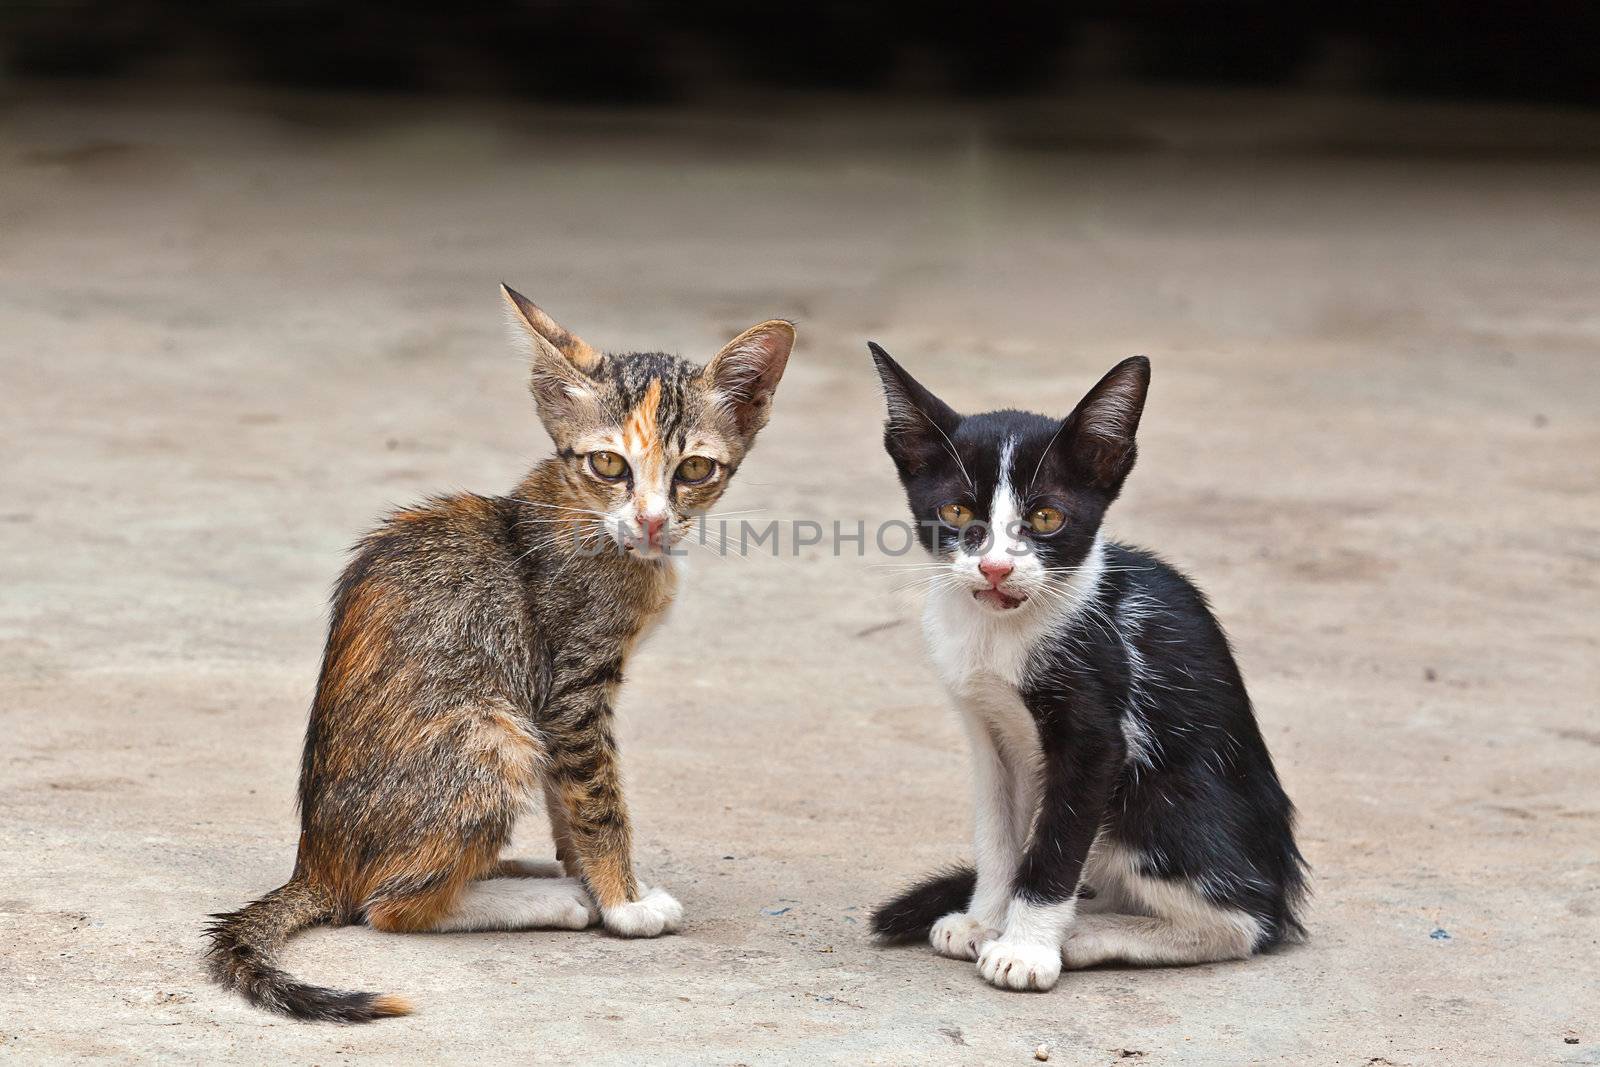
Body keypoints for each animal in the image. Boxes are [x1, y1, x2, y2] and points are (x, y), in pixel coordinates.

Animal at [206, 287, 793, 1023]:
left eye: (694, 470)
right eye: (609, 464)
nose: (654, 520)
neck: (586, 518)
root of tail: (314, 866)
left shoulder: (557, 706)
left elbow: (571, 798)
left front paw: (589, 874)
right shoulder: (571, 686)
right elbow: (599, 798)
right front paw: (623, 903)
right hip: (493, 733)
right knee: (386, 907)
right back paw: (542, 899)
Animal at [870, 348, 1305, 991]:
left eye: (1047, 517)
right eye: (956, 511)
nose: (996, 568)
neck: (1001, 633)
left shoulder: (1099, 730)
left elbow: (1056, 842)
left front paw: (1024, 949)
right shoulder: (983, 723)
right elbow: (999, 832)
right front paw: (984, 920)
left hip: (1160, 800)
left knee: (1247, 919)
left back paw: (1089, 935)